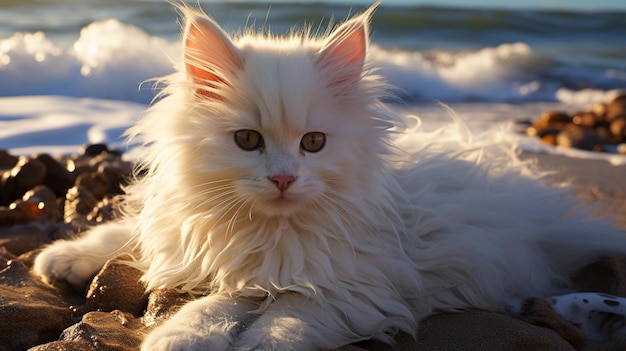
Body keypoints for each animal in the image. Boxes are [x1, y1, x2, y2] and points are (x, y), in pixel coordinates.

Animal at [33, 3, 624, 351]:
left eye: (313, 144)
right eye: (247, 141)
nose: (283, 179)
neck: (262, 234)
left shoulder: (354, 283)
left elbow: (282, 314)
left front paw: (222, 338)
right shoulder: (194, 233)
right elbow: (138, 237)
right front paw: (66, 258)